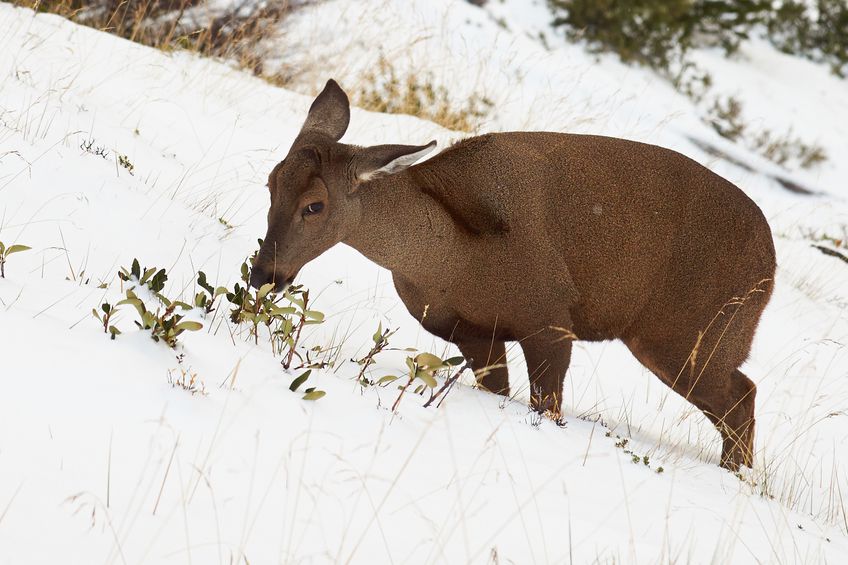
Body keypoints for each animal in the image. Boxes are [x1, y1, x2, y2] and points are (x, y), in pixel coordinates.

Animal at [250, 78, 776, 468]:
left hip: (689, 335)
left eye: (315, 205)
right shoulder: (470, 333)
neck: (450, 259)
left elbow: (548, 409)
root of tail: (771, 267)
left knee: (741, 397)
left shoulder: (550, 320)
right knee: (741, 396)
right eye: (271, 182)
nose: (264, 274)